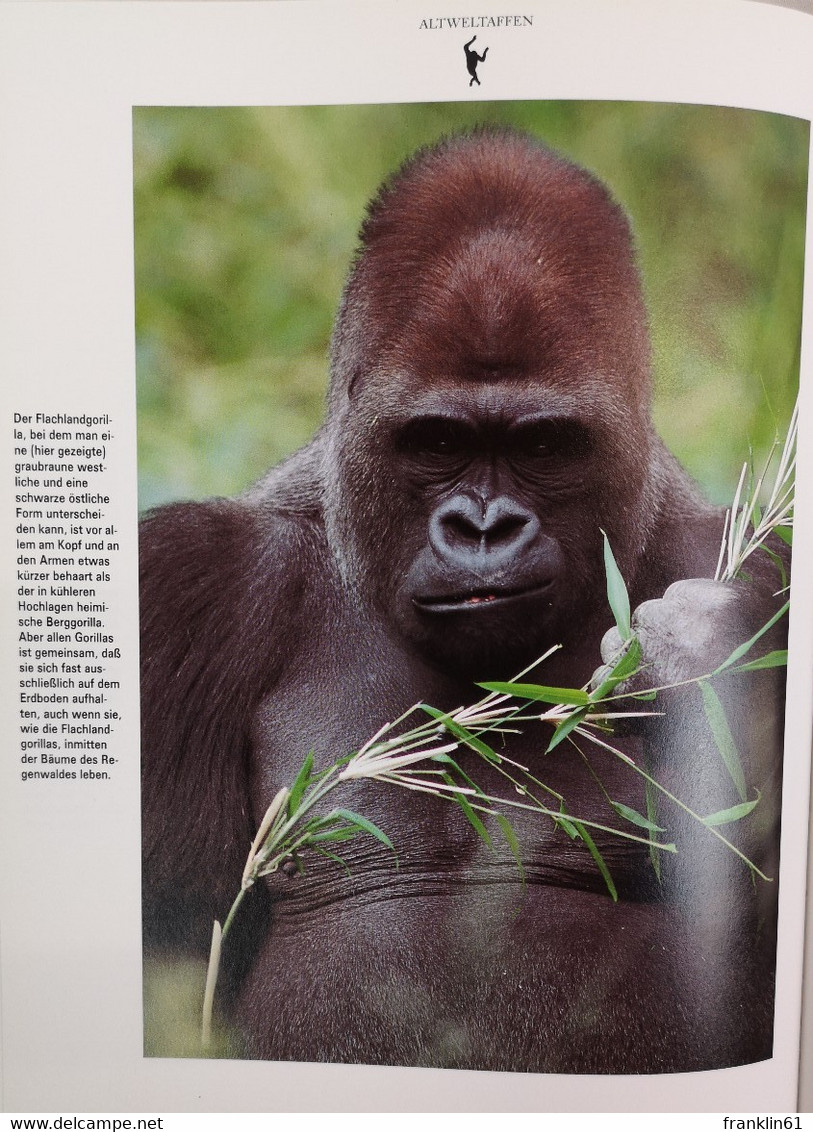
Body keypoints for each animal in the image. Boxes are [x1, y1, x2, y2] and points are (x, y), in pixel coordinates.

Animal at [141, 128, 788, 1073]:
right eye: (437, 442)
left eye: (544, 446)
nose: (482, 528)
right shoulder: (189, 587)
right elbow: (171, 971)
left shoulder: (766, 564)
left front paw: (701, 652)